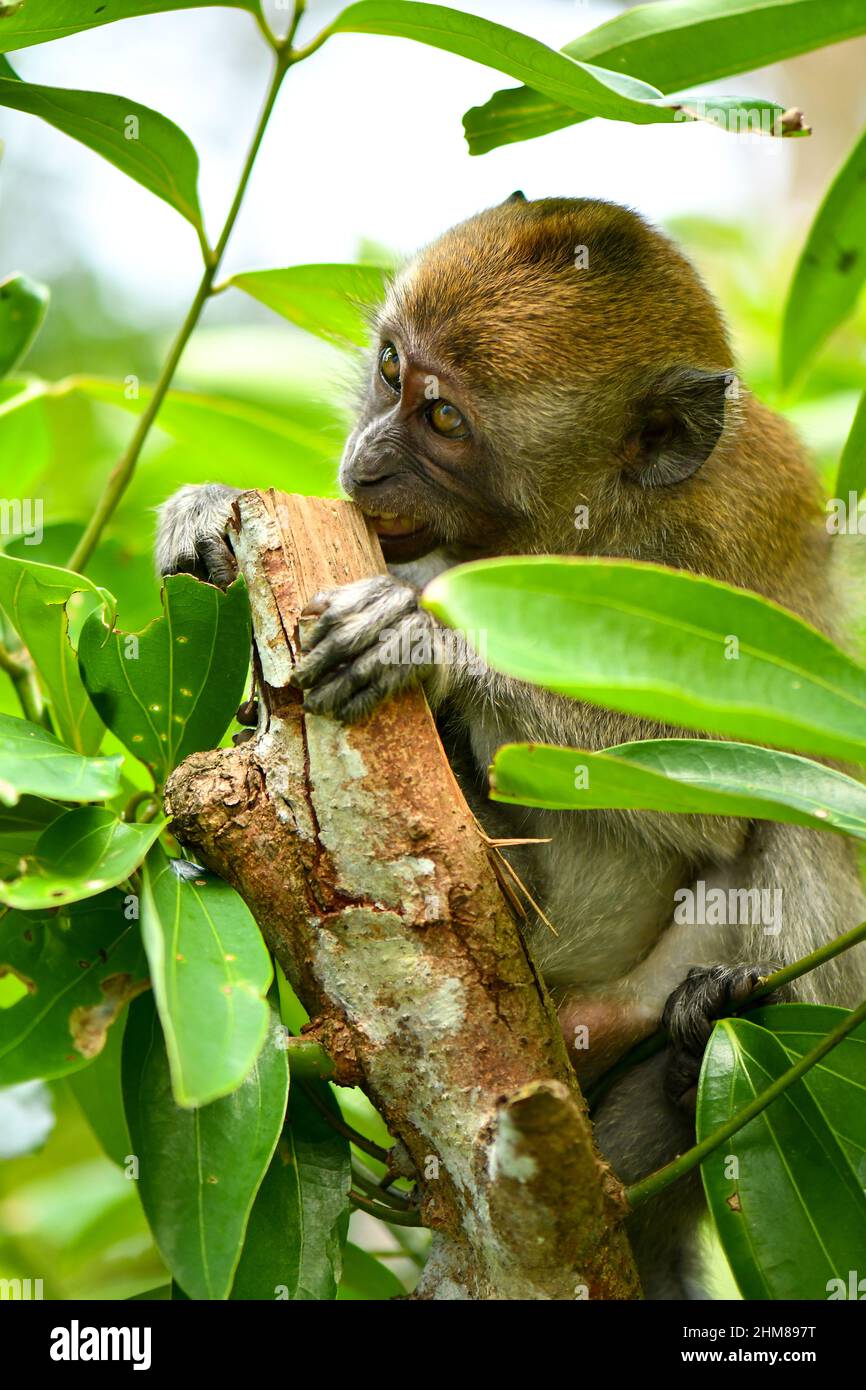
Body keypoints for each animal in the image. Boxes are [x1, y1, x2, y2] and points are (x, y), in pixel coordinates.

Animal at [155, 198, 866, 1301]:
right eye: (391, 369)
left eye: (445, 422)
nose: (364, 460)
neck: (583, 521)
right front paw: (204, 517)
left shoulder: (712, 549)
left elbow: (748, 764)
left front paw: (430, 645)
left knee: (810, 817)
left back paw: (687, 1064)